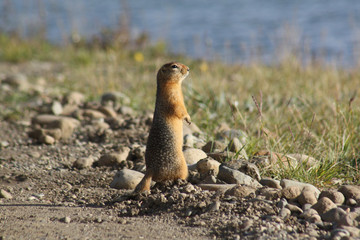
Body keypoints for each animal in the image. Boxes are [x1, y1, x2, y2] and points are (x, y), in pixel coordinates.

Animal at [135, 61, 191, 191]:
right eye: (174, 66)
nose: (188, 69)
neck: (174, 85)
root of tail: (150, 170)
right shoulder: (172, 97)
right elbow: (180, 109)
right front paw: (188, 119)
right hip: (181, 165)